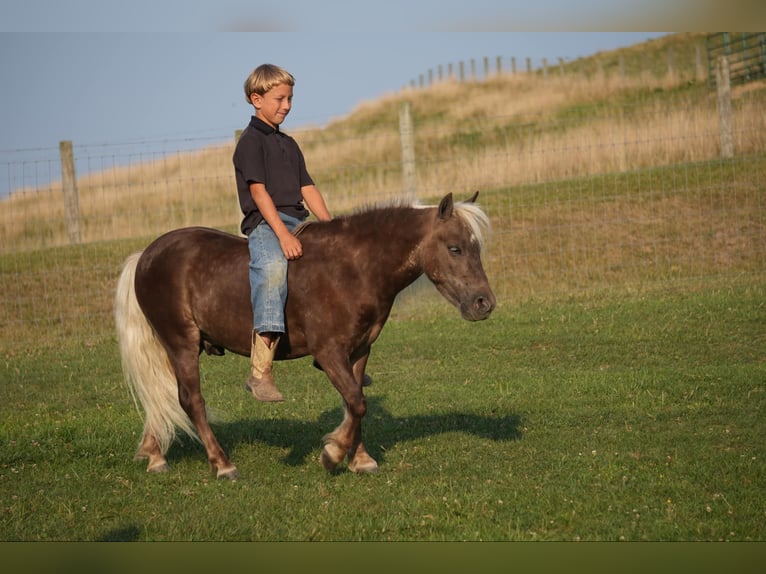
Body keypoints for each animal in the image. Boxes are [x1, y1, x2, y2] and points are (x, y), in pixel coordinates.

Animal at [114, 191, 498, 480]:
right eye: (454, 248)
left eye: (476, 247)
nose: (484, 303)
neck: (353, 268)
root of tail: (145, 255)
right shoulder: (329, 352)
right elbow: (356, 402)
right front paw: (333, 453)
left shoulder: (359, 351)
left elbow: (355, 401)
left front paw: (360, 459)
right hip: (181, 343)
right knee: (190, 400)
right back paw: (222, 464)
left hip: (172, 348)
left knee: (161, 395)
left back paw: (155, 456)